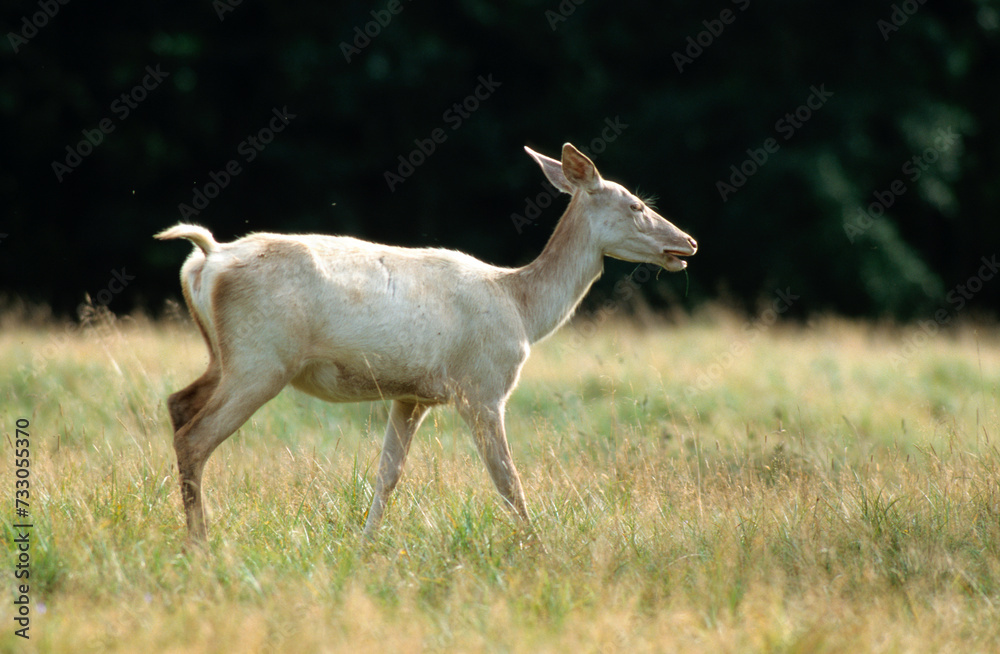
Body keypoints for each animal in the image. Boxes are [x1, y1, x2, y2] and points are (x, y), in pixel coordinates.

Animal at [156, 143, 698, 544]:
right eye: (637, 205)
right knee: (195, 438)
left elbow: (387, 474)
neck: (522, 309)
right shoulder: (482, 386)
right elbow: (506, 478)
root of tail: (207, 259)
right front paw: (538, 546)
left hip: (225, 356)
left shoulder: (411, 394)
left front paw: (365, 545)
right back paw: (201, 543)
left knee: (178, 402)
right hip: (260, 358)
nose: (688, 242)